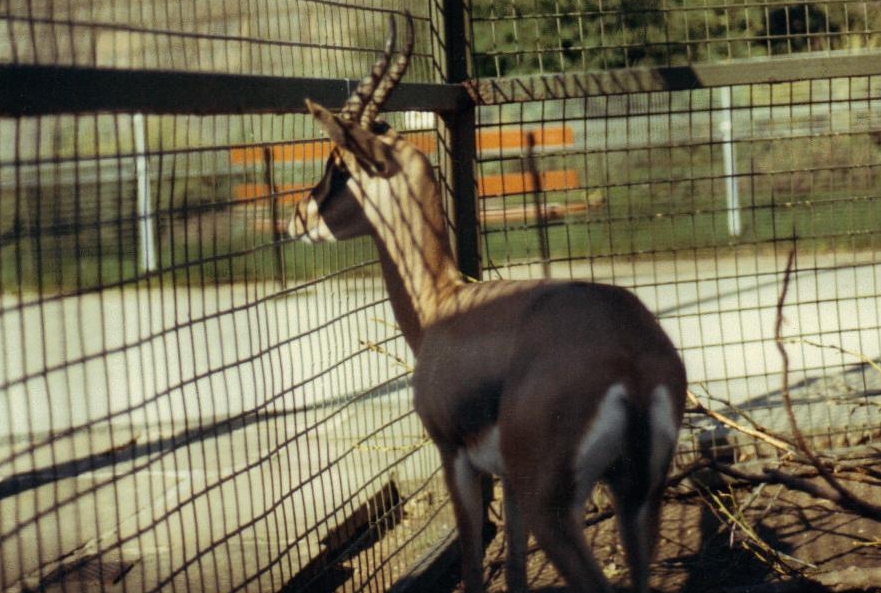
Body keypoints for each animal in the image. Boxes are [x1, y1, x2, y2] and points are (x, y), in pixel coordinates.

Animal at [289, 12, 687, 593]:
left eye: (339, 166)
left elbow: (475, 562)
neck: (443, 304)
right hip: (637, 502)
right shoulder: (510, 482)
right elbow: (516, 568)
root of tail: (632, 360)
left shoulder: (456, 459)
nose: (297, 217)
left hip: (557, 510)